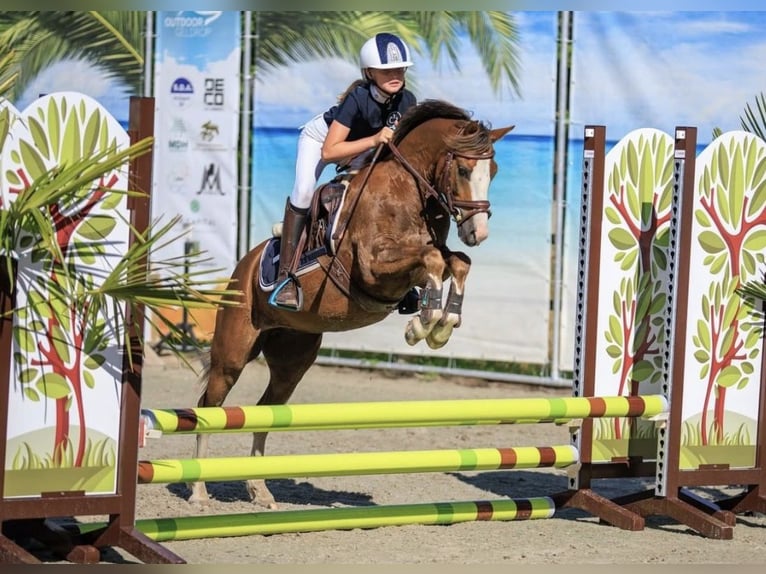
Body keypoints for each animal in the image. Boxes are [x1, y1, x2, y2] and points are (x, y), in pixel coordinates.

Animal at [189, 99, 514, 508]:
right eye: (463, 169)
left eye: (495, 171)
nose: (478, 232)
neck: (405, 191)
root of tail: (241, 268)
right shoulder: (374, 269)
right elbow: (434, 261)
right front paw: (423, 325)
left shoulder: (420, 261)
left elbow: (456, 262)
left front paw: (441, 324)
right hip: (232, 354)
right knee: (209, 406)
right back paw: (199, 491)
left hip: (292, 359)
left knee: (266, 410)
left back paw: (259, 490)